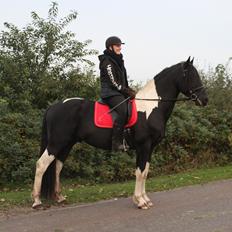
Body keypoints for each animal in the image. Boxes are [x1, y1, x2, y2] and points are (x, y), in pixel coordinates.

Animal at [32, 56, 208, 210]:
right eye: (191, 75)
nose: (204, 99)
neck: (151, 107)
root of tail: (53, 107)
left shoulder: (150, 147)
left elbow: (145, 172)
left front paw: (145, 199)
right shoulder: (144, 145)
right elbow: (140, 172)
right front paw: (140, 201)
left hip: (67, 143)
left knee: (57, 166)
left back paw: (59, 197)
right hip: (57, 142)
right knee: (41, 164)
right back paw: (36, 201)